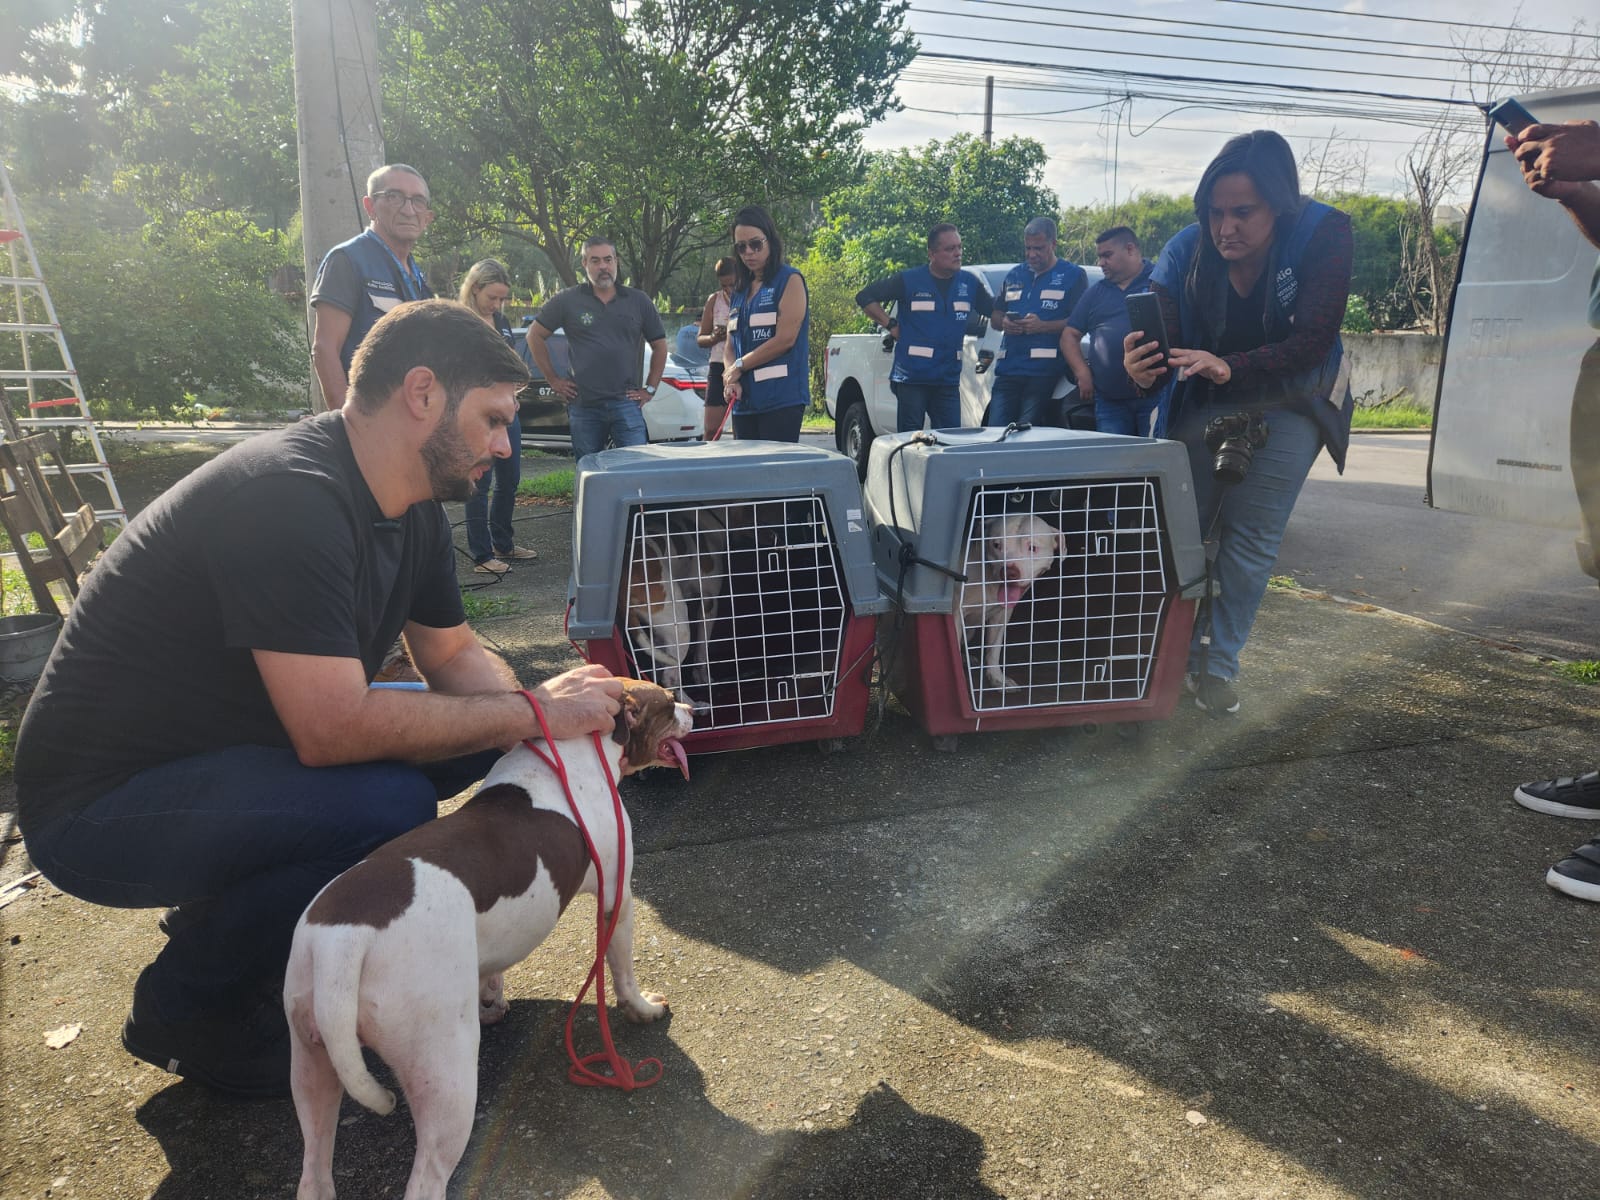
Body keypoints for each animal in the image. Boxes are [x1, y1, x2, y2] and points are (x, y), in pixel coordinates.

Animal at [283, 681, 694, 1200]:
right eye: (667, 703)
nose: (694, 708)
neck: (586, 745)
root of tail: (346, 939)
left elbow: (492, 965)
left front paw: (492, 999)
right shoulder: (616, 894)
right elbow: (622, 969)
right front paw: (641, 1009)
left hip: (311, 1060)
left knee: (314, 1168)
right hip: (446, 1073)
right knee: (428, 1176)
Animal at [617, 499, 857, 732]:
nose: (793, 516)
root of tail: (626, 579)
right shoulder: (708, 602)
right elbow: (702, 652)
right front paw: (705, 680)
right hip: (676, 619)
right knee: (671, 675)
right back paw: (694, 706)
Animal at [960, 512, 1062, 691]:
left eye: (1032, 548)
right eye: (996, 545)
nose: (1009, 572)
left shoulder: (1001, 615)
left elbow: (994, 649)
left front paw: (997, 679)